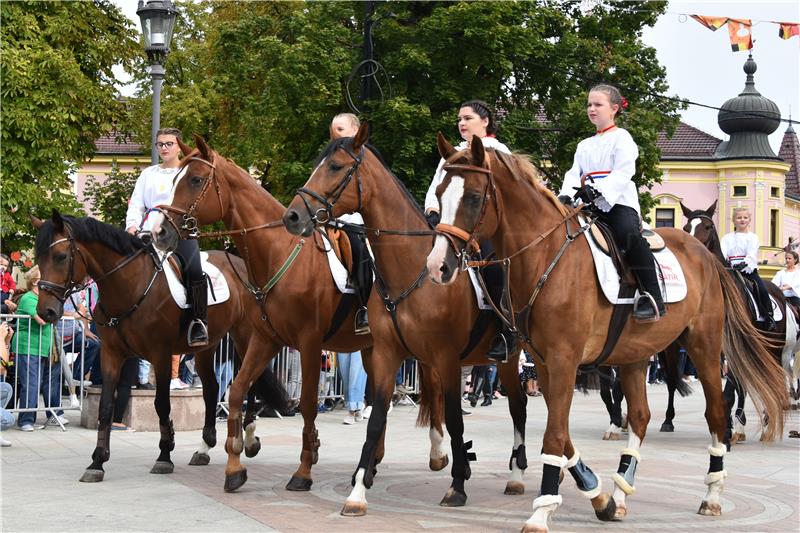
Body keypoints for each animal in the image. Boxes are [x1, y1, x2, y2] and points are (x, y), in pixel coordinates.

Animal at [32, 211, 288, 482]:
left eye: (60, 256)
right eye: (39, 258)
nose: (46, 311)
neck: (130, 286)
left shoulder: (160, 354)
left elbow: (162, 404)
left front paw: (165, 455)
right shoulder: (111, 354)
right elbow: (106, 406)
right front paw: (97, 462)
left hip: (246, 336)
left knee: (249, 382)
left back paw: (249, 439)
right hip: (207, 347)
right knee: (211, 389)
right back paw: (204, 447)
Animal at [282, 122, 532, 512]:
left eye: (336, 167)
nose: (293, 216)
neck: (411, 270)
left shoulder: (446, 358)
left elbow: (456, 420)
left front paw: (457, 486)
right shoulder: (387, 354)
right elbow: (377, 418)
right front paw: (358, 490)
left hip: (508, 358)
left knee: (519, 408)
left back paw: (517, 475)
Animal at [424, 135, 788, 528]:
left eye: (474, 197)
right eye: (439, 192)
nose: (438, 265)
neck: (546, 256)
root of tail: (708, 259)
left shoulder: (564, 360)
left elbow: (554, 435)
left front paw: (542, 511)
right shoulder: (545, 362)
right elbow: (561, 432)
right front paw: (597, 495)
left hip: (703, 348)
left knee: (717, 412)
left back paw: (712, 493)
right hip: (635, 355)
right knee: (641, 417)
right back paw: (620, 493)